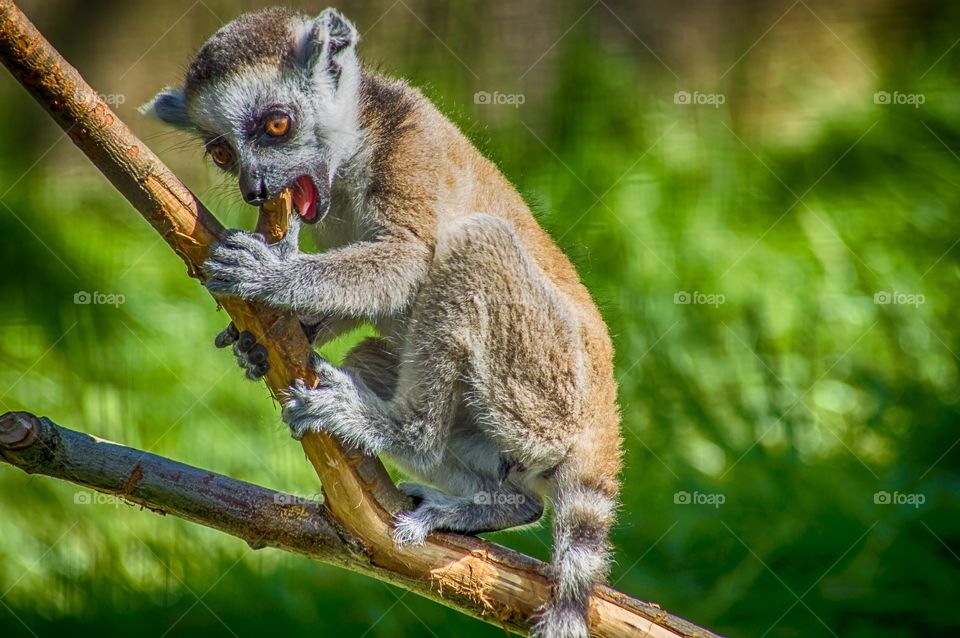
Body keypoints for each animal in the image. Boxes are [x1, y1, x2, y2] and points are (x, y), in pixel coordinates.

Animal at [141, 8, 622, 637]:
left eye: (276, 125)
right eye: (221, 152)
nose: (255, 189)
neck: (355, 150)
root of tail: (602, 411)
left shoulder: (408, 154)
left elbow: (409, 261)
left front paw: (270, 272)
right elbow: (363, 298)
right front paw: (264, 340)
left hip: (545, 389)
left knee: (473, 245)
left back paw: (401, 430)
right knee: (380, 364)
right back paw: (496, 504)